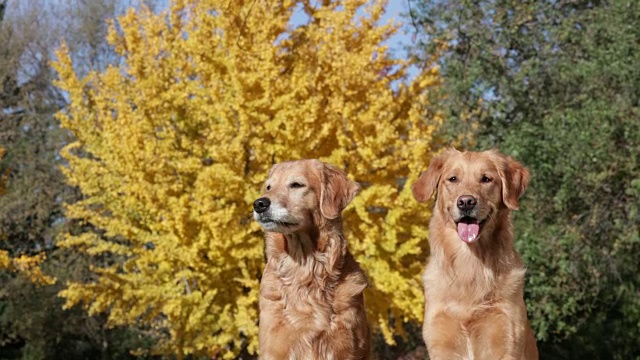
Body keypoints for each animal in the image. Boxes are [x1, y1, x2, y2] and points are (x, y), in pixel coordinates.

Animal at [410, 149, 540, 360]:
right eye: (452, 179)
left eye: (486, 179)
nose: (466, 202)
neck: (470, 263)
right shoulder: (441, 342)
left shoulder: (505, 338)